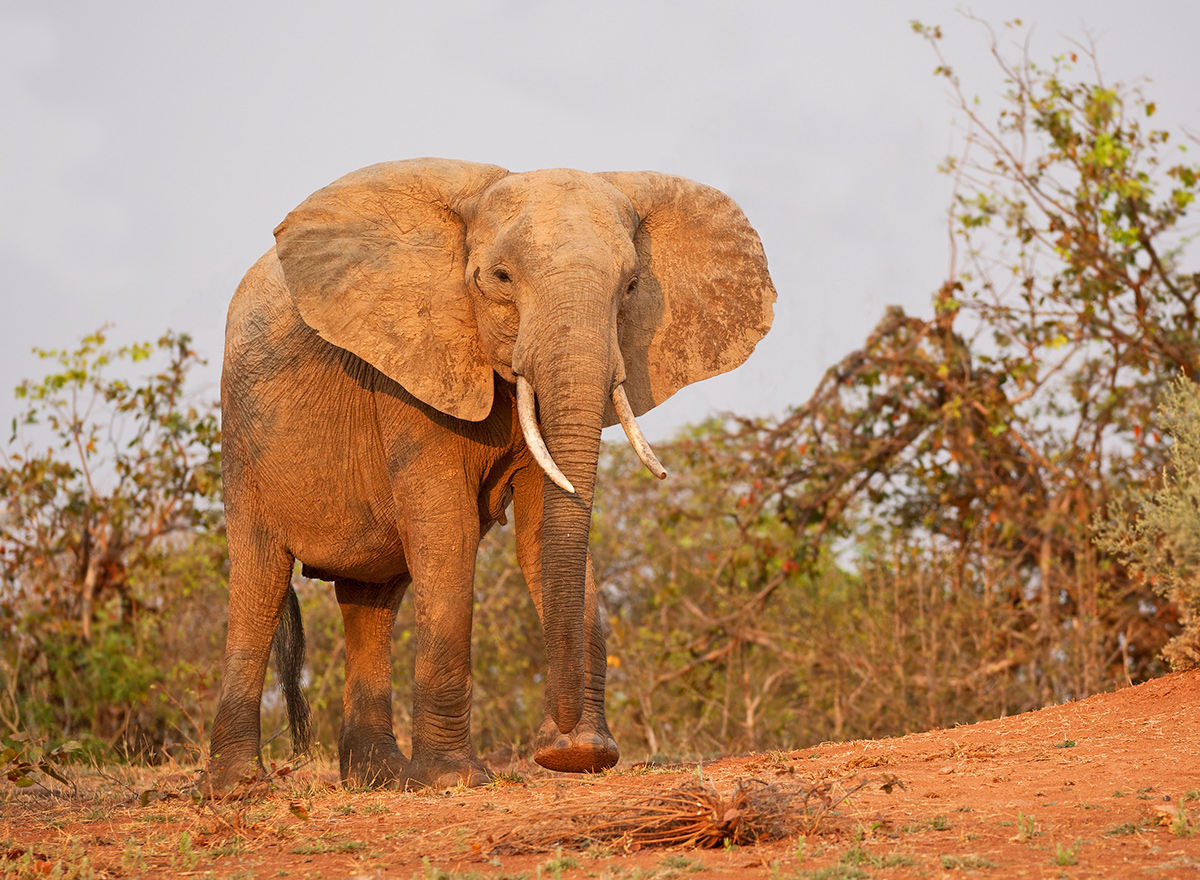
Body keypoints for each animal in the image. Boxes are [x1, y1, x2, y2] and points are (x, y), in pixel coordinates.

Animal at [208, 158, 775, 791]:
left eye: (631, 287)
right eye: (500, 278)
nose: (559, 740)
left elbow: (540, 529)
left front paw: (580, 756)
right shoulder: (414, 368)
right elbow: (446, 531)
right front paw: (454, 779)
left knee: (371, 599)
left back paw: (380, 777)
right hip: (245, 439)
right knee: (260, 581)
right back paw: (239, 786)